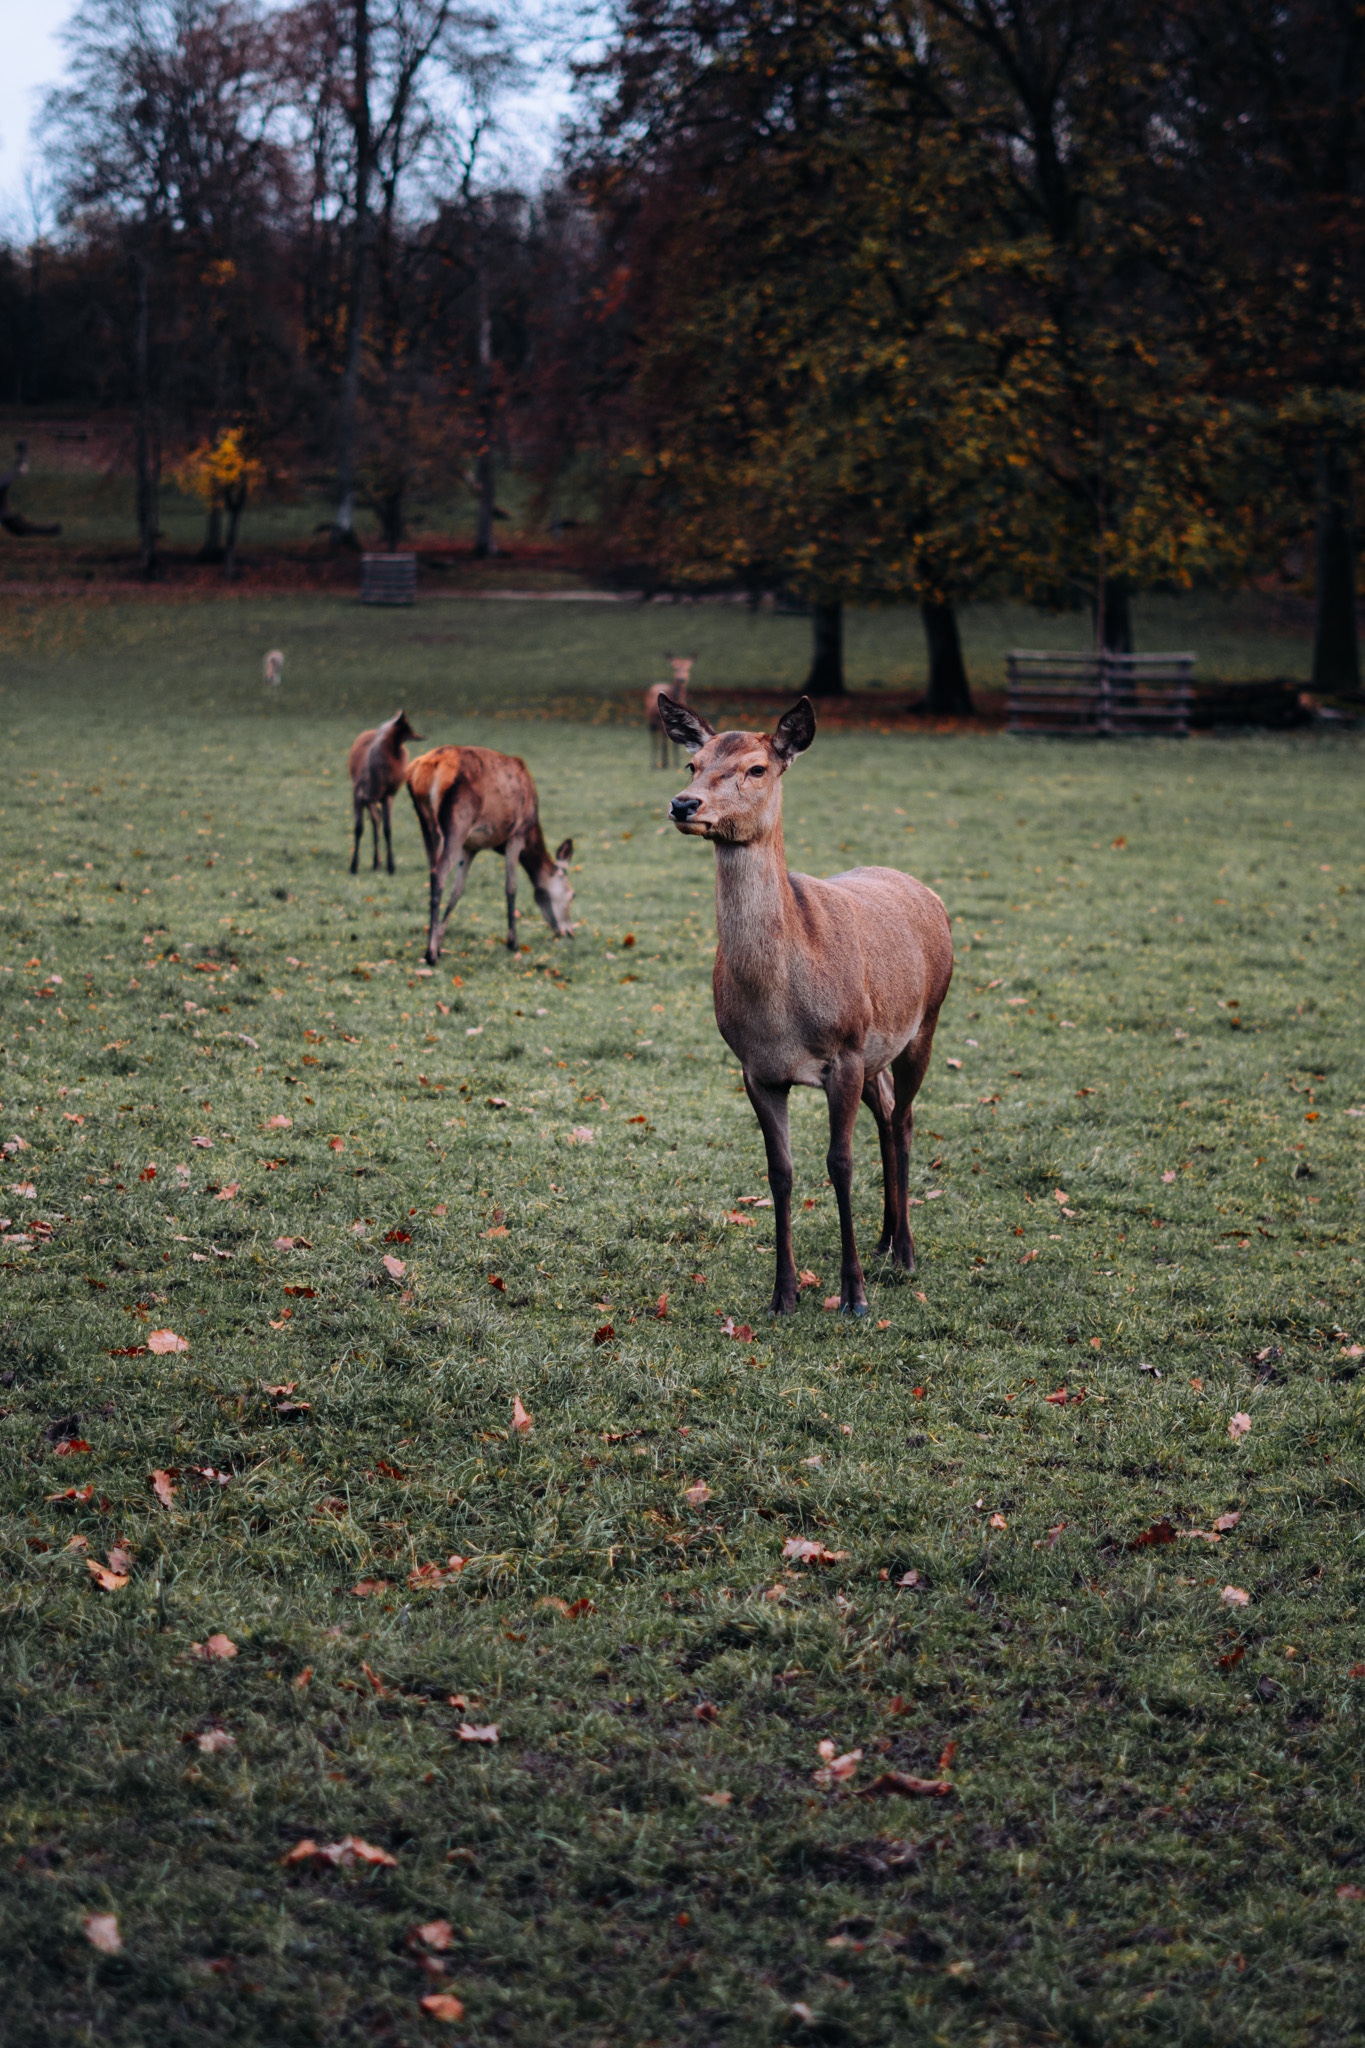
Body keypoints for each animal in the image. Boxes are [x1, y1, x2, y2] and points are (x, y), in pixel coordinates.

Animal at [348, 710, 421, 875]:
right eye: (406, 726)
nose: (419, 736)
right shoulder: (358, 795)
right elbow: (358, 828)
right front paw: (353, 866)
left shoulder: (387, 797)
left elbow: (388, 830)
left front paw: (391, 866)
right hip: (367, 799)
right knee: (375, 820)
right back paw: (375, 862)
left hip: (378, 799)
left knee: (377, 821)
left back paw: (377, 863)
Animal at [407, 745, 575, 964]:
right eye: (572, 894)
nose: (569, 932)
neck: (532, 834)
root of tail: (425, 769)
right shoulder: (517, 835)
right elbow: (511, 887)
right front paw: (513, 942)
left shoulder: (471, 847)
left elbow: (458, 890)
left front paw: (442, 941)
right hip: (457, 820)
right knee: (439, 873)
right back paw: (430, 953)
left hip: (426, 823)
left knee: (432, 871)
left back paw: (432, 946)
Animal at [660, 693, 953, 1316]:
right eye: (692, 764)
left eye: (756, 768)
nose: (683, 803)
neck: (778, 1011)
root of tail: (929, 893)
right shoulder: (756, 1070)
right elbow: (780, 1172)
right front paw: (783, 1294)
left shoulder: (843, 1050)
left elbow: (839, 1165)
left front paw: (853, 1295)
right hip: (875, 1052)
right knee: (886, 1110)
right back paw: (885, 1239)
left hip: (924, 1023)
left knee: (905, 1118)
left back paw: (905, 1252)